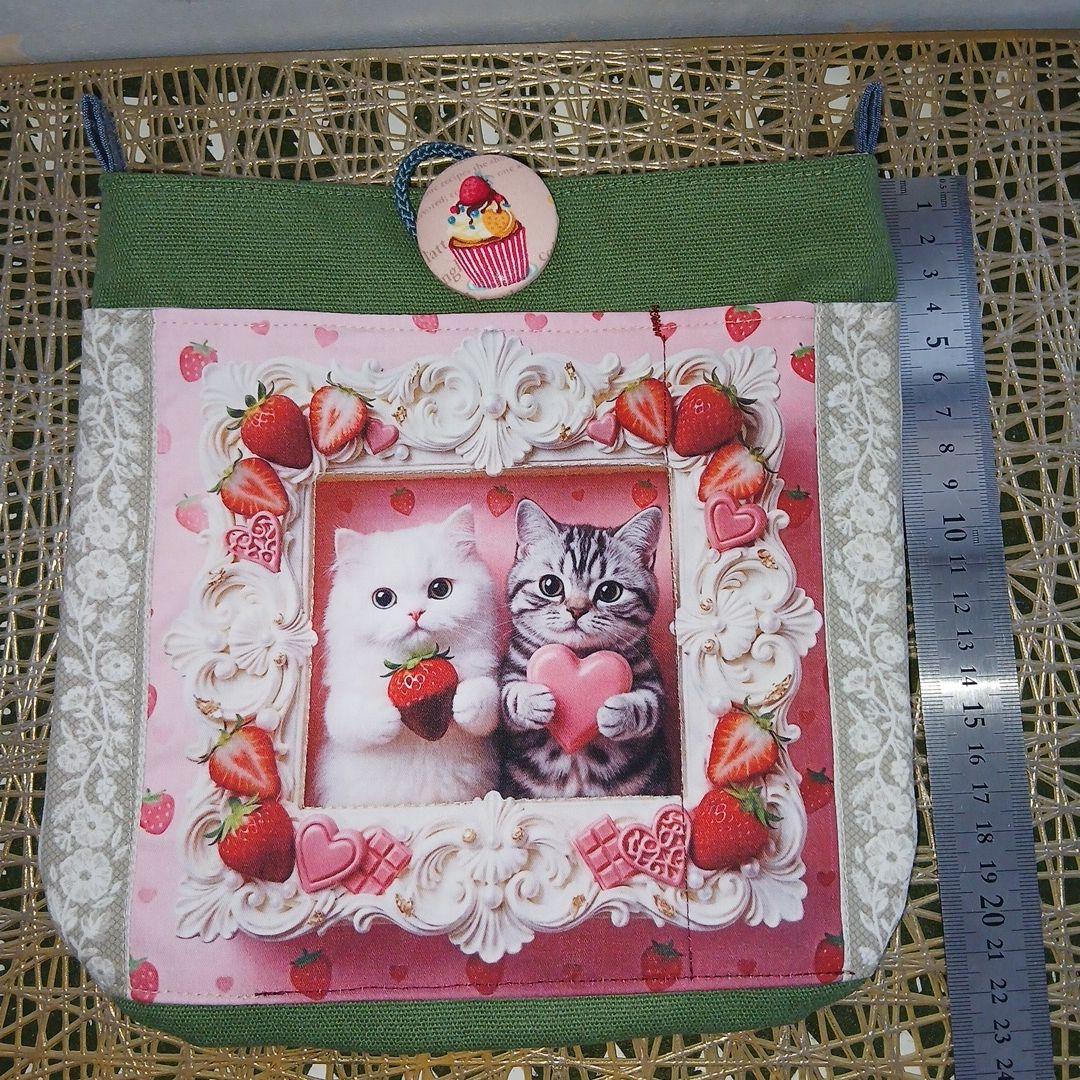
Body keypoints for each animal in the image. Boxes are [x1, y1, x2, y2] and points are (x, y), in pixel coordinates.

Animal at [316, 505, 500, 807]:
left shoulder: (489, 688)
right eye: (383, 598)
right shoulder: (340, 705)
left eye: (440, 589)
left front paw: (464, 702)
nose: (415, 613)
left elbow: (487, 697)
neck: (415, 661)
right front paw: (387, 716)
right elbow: (351, 717)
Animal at [499, 499, 670, 798]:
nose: (577, 610)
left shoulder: (653, 684)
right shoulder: (510, 675)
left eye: (609, 592)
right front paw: (533, 701)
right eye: (550, 585)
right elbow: (509, 697)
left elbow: (649, 706)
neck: (579, 656)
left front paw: (619, 712)